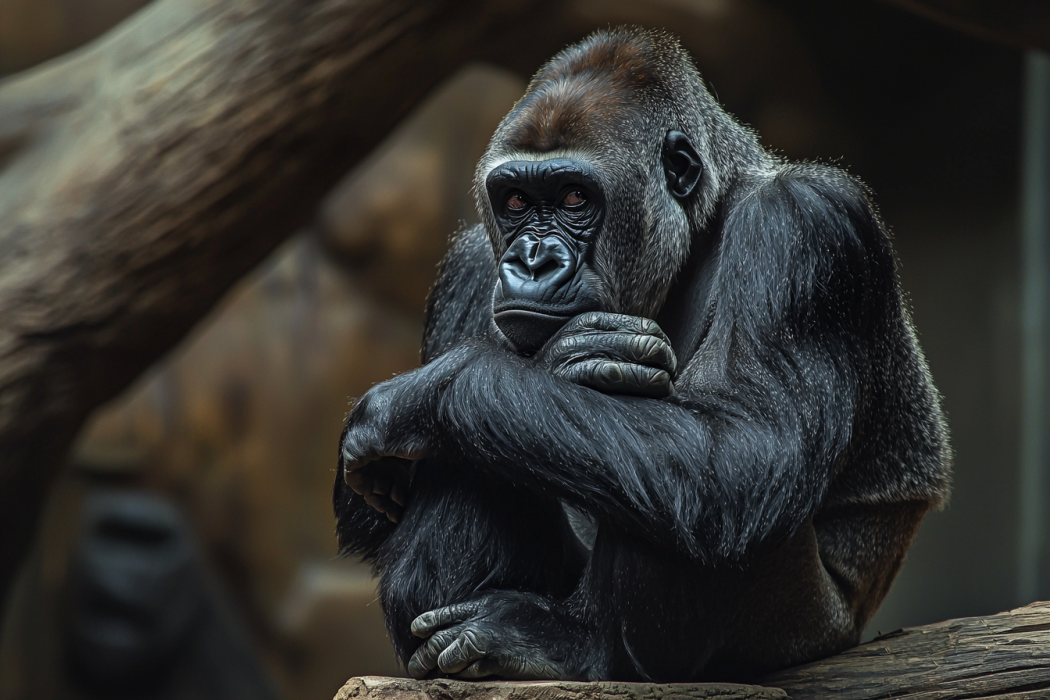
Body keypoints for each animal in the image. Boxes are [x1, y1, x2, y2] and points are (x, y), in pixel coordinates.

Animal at [333, 27, 950, 682]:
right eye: (516, 201)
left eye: (574, 197)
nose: (530, 260)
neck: (707, 213)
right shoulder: (471, 262)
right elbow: (374, 512)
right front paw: (572, 355)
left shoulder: (804, 221)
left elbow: (744, 455)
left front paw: (417, 395)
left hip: (808, 628)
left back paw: (575, 650)